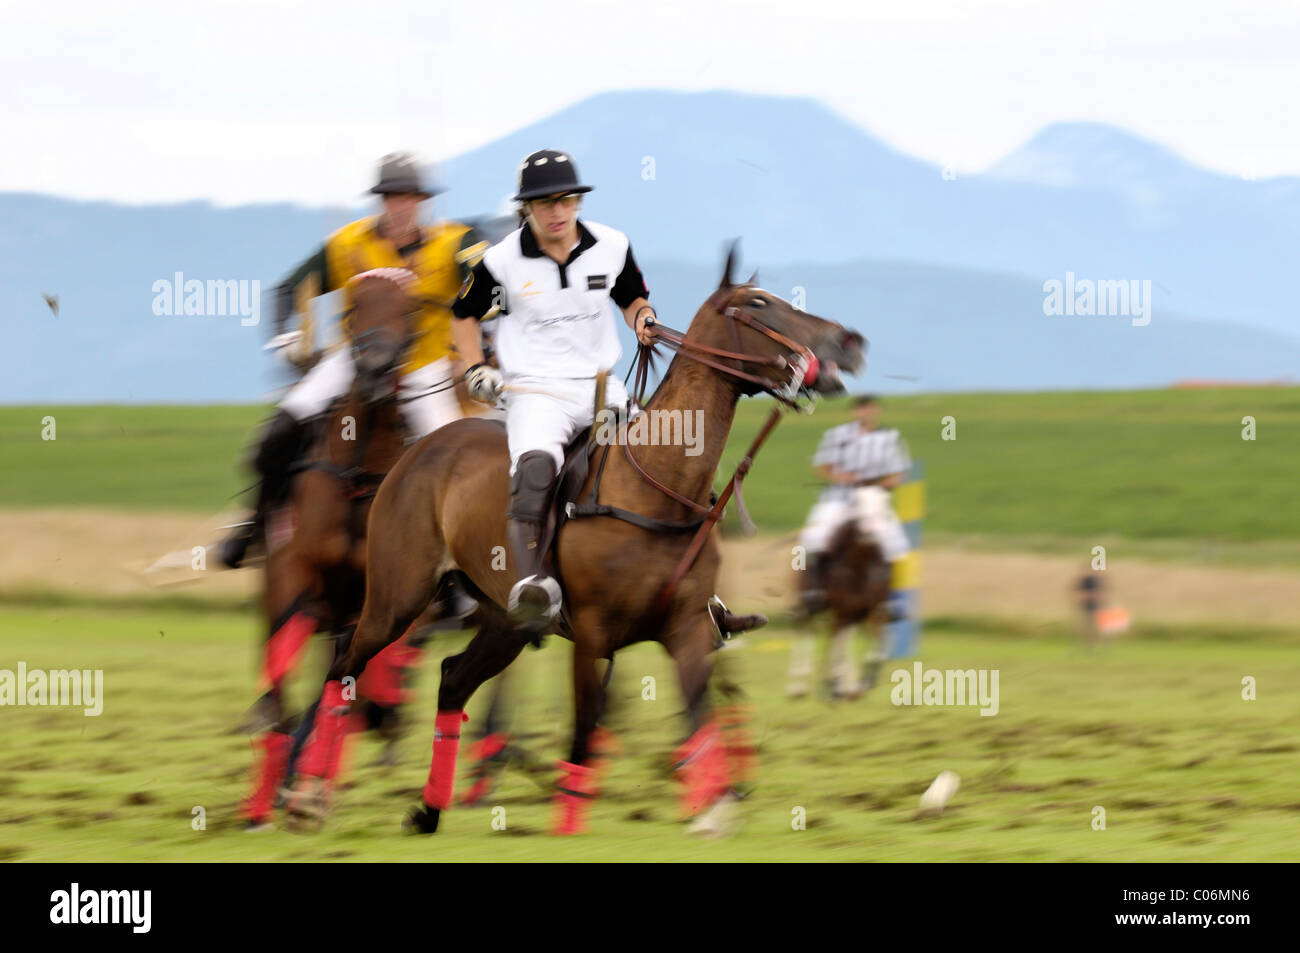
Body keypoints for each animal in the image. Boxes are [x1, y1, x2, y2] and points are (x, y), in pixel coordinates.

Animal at [289, 245, 868, 832]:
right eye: (757, 304)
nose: (849, 342)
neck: (656, 486)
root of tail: (418, 451)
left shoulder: (688, 628)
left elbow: (698, 710)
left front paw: (714, 810)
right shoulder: (592, 634)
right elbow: (586, 729)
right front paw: (569, 823)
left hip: (505, 622)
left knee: (451, 679)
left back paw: (428, 810)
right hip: (397, 596)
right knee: (345, 662)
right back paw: (306, 796)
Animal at [785, 486, 899, 696]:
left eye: (884, 503)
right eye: (857, 502)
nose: (869, 530)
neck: (859, 567)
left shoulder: (872, 612)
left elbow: (875, 653)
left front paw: (863, 682)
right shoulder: (840, 612)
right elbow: (834, 649)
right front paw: (834, 686)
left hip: (850, 615)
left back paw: (847, 686)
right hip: (809, 605)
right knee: (804, 629)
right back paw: (798, 686)